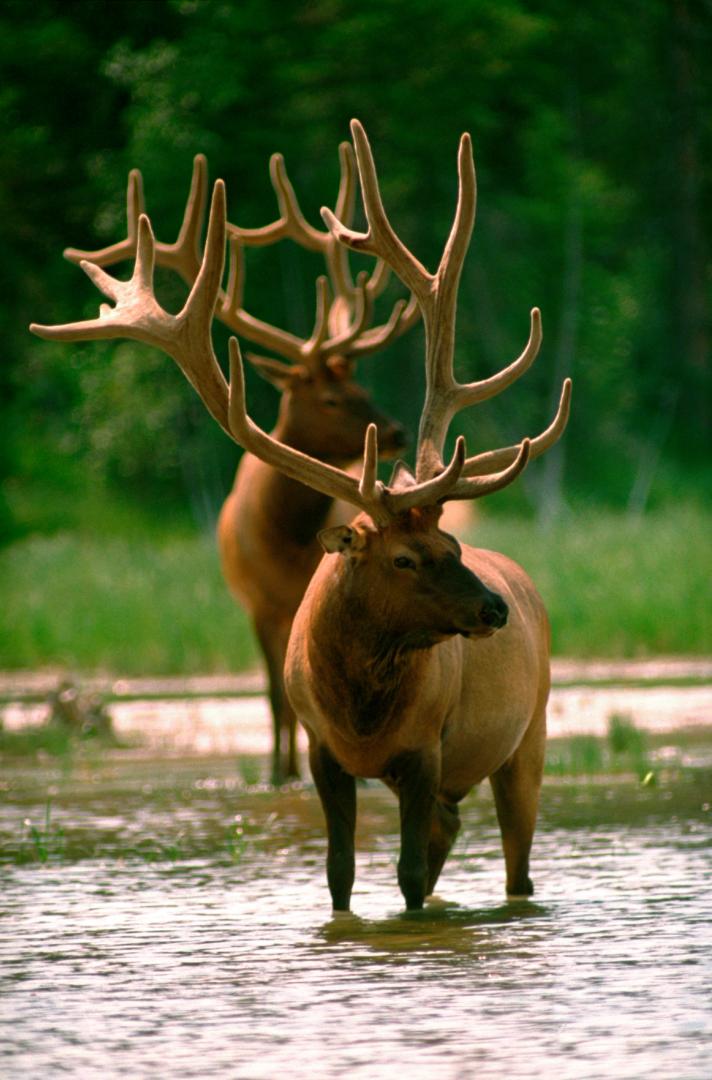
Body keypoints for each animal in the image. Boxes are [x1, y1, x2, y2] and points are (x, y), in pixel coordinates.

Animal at [62, 145, 417, 782]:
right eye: (332, 398)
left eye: (361, 386)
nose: (397, 430)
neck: (284, 539)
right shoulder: (256, 604)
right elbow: (275, 699)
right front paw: (279, 773)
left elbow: (297, 699)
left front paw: (295, 772)